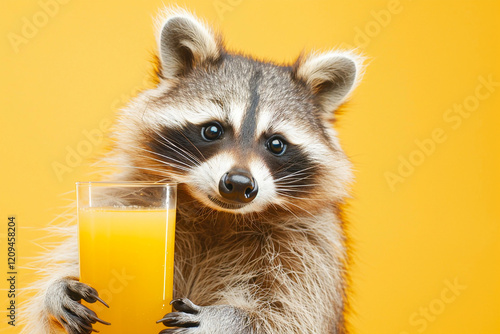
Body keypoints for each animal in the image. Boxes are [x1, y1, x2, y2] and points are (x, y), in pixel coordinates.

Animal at [20, 7, 364, 334]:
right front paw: (55, 292)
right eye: (212, 130)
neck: (219, 216)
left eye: (276, 144)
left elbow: (288, 316)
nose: (239, 183)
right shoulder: (126, 192)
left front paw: (225, 319)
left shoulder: (310, 247)